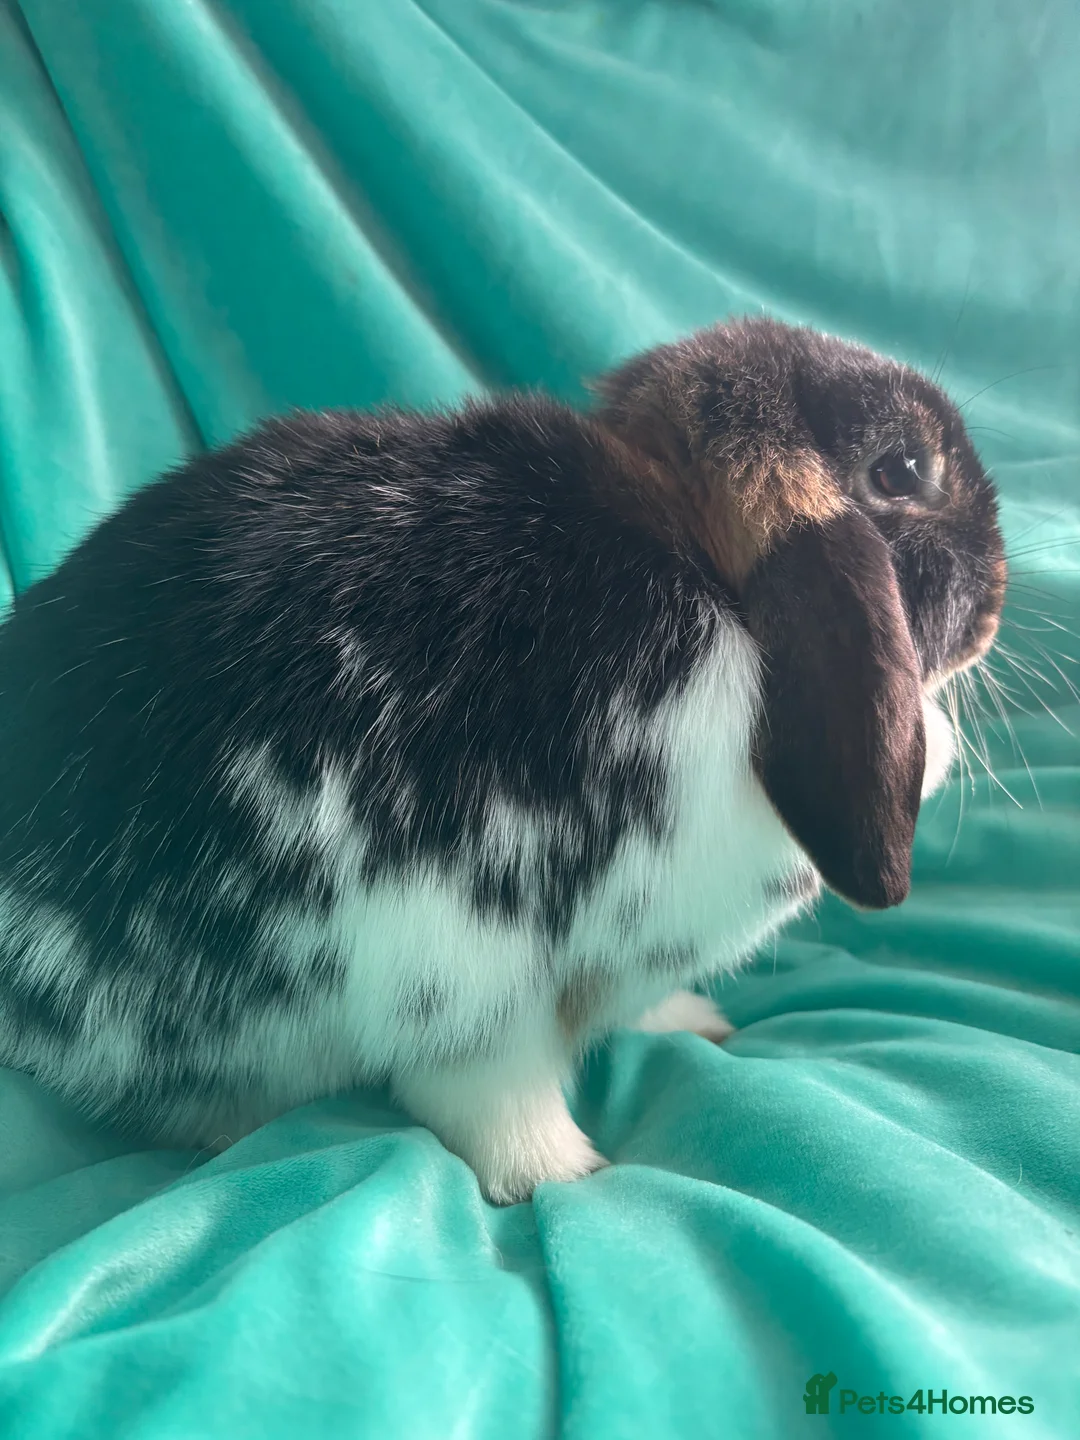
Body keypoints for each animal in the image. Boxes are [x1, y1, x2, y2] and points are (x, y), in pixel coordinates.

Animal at [0, 317, 1005, 1203]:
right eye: (902, 470)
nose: (999, 595)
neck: (706, 577)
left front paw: (695, 1023)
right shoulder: (462, 974)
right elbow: (490, 1096)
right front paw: (562, 1176)